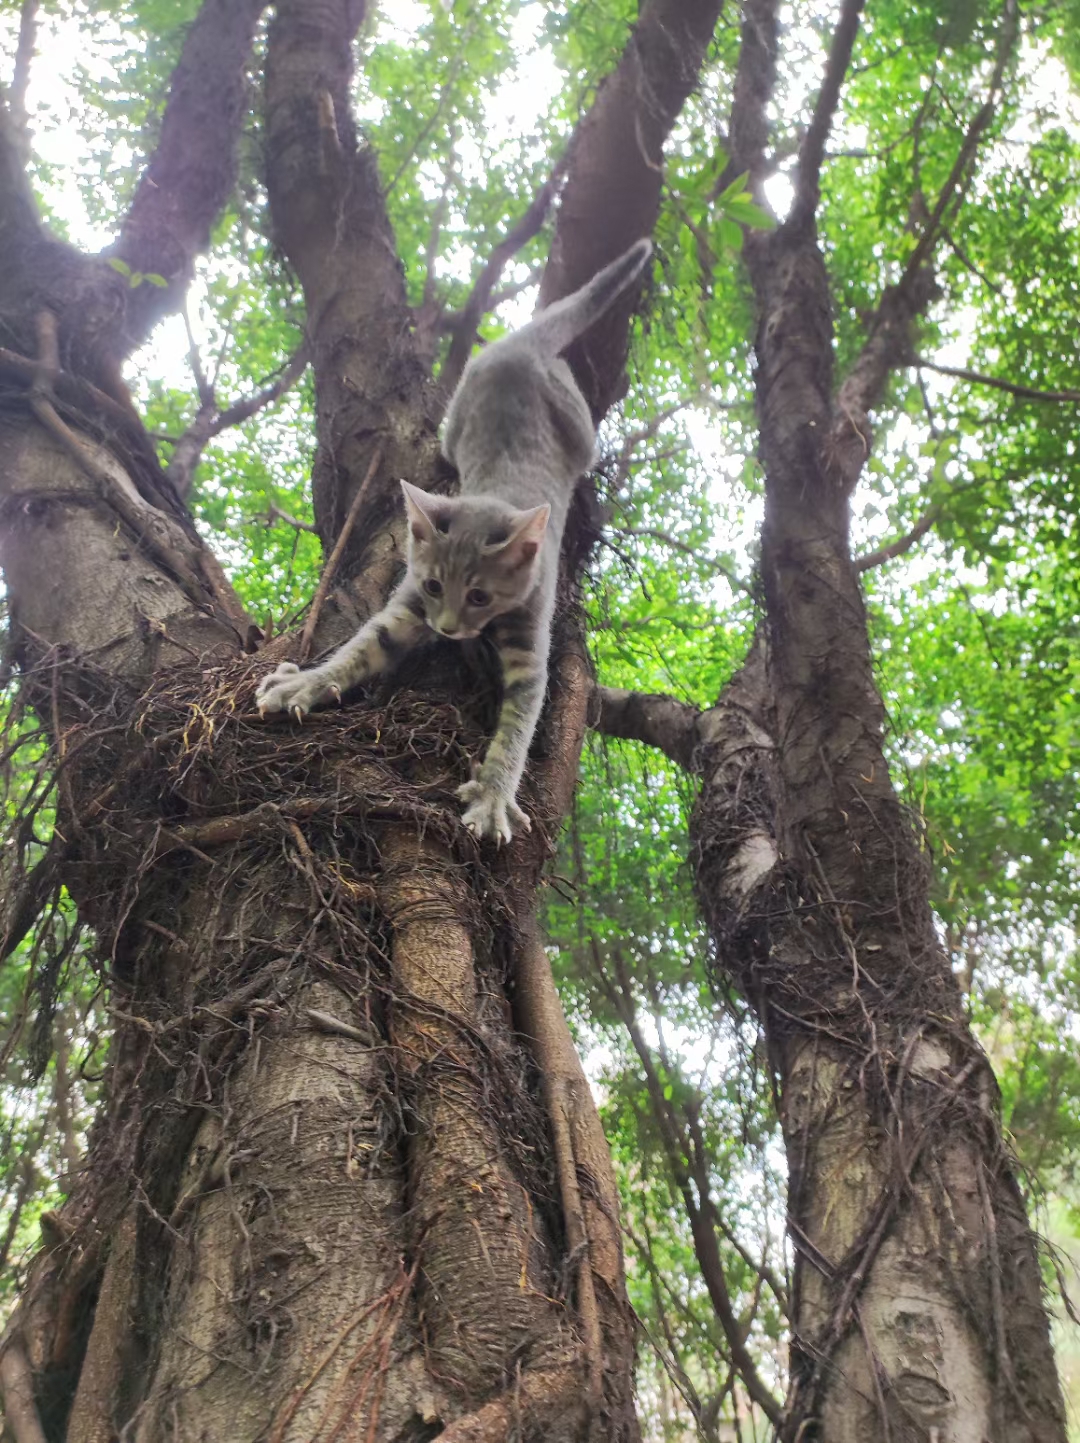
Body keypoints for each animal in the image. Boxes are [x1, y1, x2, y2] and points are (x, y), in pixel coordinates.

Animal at [257, 238, 652, 842]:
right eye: (434, 586)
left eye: (480, 596)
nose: (445, 630)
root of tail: (519, 343)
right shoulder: (402, 609)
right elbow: (358, 649)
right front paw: (305, 683)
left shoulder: (531, 651)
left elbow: (515, 732)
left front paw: (493, 798)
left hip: (579, 428)